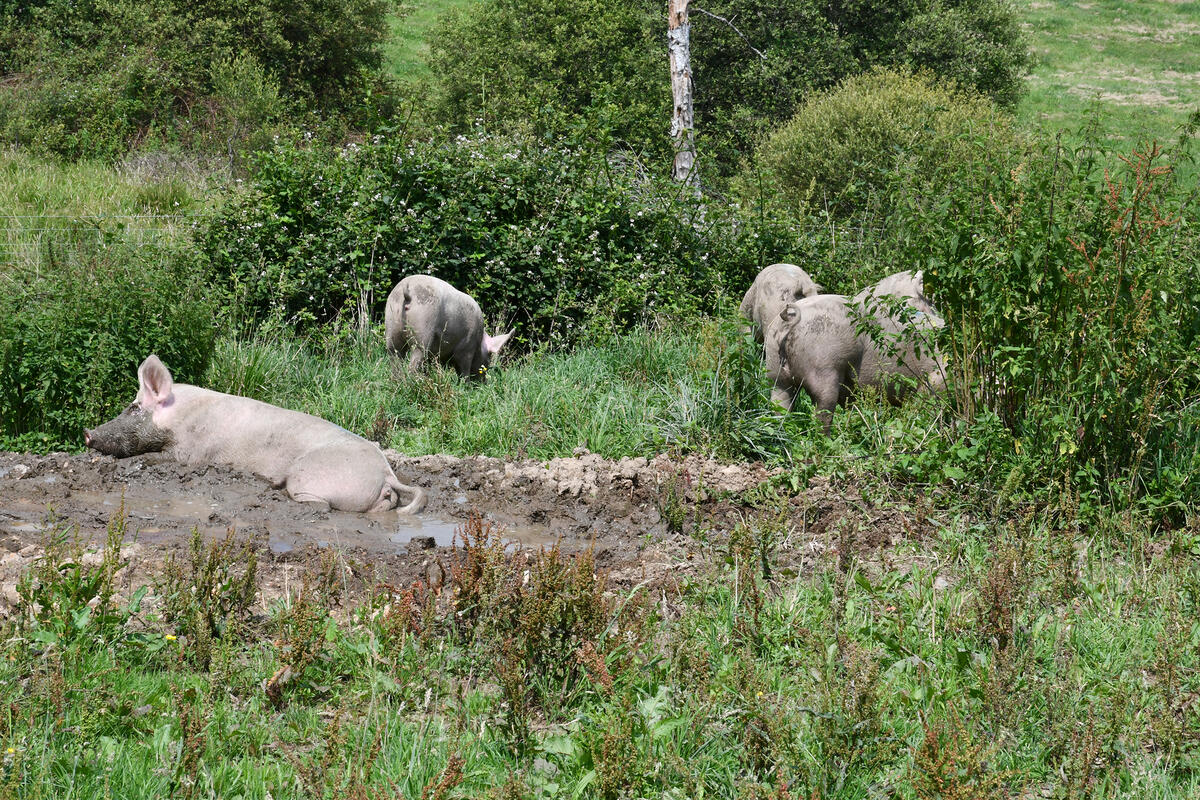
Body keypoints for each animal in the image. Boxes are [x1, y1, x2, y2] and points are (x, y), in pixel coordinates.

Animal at [83, 355, 427, 513]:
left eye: (134, 408)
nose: (88, 433)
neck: (182, 415)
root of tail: (386, 473)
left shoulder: (190, 452)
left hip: (310, 477)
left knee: (320, 504)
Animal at [768, 284, 945, 431]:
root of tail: (791, 318)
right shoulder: (936, 380)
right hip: (824, 368)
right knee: (822, 413)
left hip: (775, 370)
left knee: (780, 405)